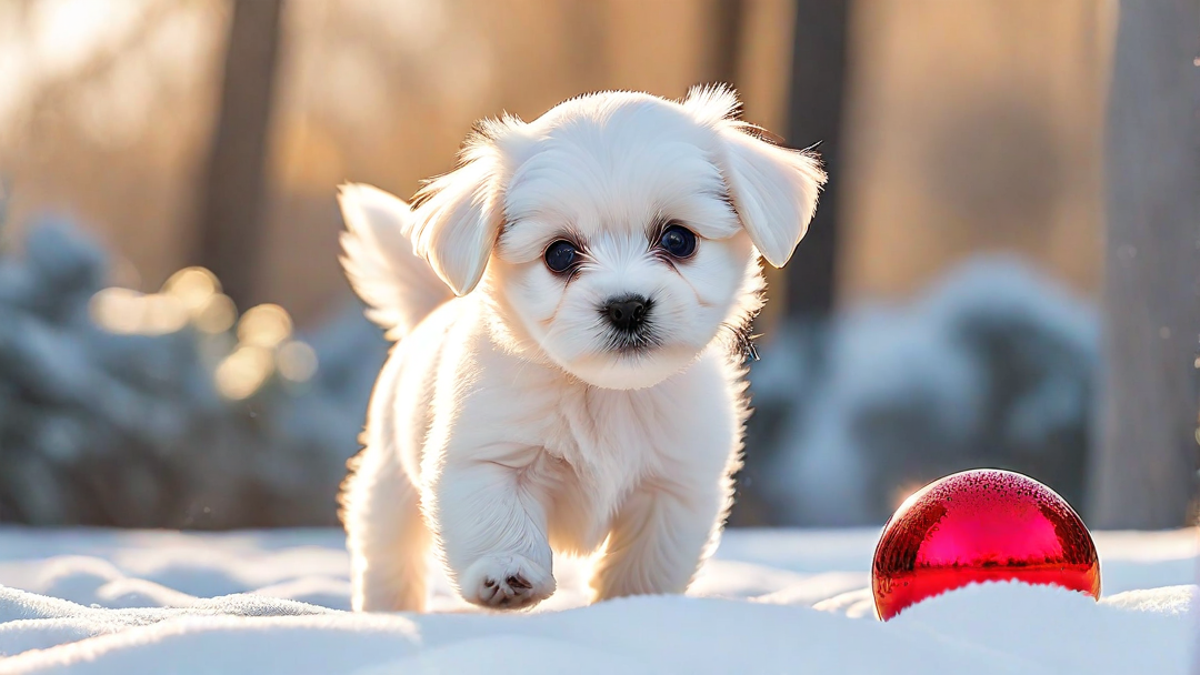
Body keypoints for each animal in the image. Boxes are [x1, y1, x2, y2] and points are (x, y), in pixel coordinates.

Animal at [338, 84, 825, 610]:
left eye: (678, 240)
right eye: (560, 254)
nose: (627, 306)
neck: (605, 393)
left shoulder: (674, 488)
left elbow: (645, 562)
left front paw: (634, 601)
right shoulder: (484, 458)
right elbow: (497, 519)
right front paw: (507, 570)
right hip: (387, 477)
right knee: (388, 551)